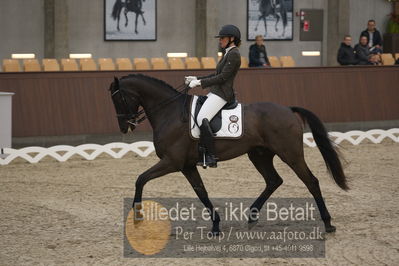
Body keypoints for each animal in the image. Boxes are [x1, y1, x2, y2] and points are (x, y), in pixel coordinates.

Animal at [108, 74, 346, 235]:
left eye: (119, 99)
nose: (124, 127)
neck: (170, 112)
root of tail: (288, 109)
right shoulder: (186, 166)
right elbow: (201, 193)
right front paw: (215, 225)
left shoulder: (172, 162)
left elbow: (140, 179)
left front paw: (137, 217)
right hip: (259, 155)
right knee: (273, 180)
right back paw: (251, 216)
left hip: (290, 154)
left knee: (311, 181)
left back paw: (328, 224)